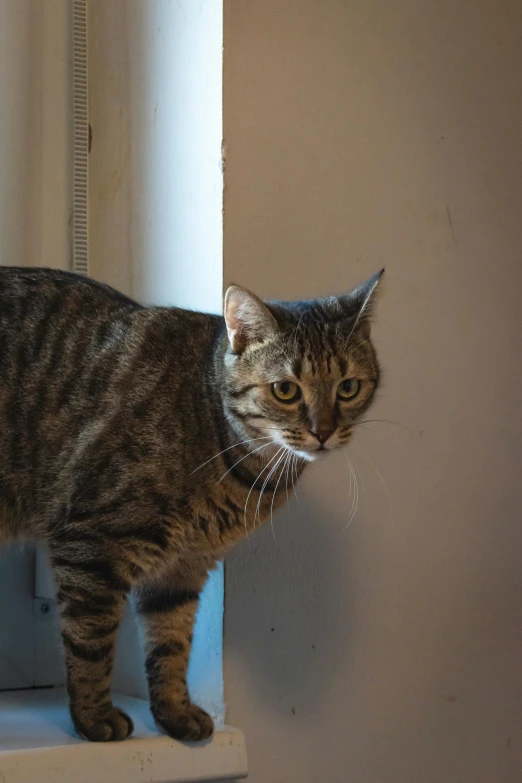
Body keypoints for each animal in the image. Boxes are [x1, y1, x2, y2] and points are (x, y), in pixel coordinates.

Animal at [0, 266, 380, 744]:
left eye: (348, 388)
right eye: (285, 391)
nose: (323, 432)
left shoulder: (183, 567)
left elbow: (171, 645)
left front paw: (175, 712)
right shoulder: (89, 543)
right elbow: (91, 641)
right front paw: (93, 717)